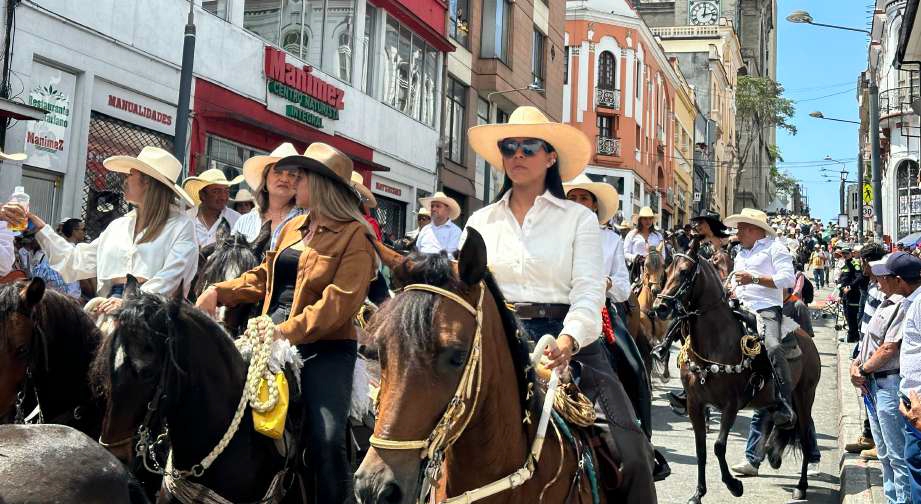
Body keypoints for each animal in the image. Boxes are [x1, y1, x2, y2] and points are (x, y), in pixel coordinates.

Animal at [648, 238, 820, 502]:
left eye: (685, 272)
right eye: (667, 271)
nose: (660, 306)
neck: (716, 343)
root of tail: (806, 338)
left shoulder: (730, 404)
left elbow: (719, 447)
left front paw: (733, 485)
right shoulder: (695, 404)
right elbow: (701, 449)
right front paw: (698, 493)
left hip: (804, 396)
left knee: (804, 433)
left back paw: (800, 485)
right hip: (771, 400)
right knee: (778, 423)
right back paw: (772, 452)